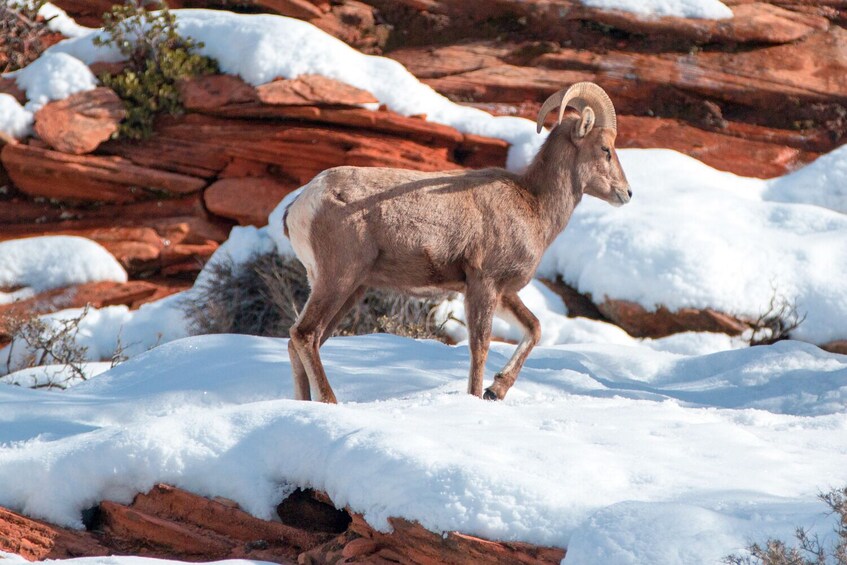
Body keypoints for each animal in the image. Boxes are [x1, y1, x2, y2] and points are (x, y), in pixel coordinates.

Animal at [284, 81, 628, 404]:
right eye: (605, 149)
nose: (627, 193)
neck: (534, 204)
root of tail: (301, 204)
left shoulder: (502, 292)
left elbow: (535, 328)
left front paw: (496, 390)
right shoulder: (483, 285)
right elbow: (480, 345)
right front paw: (478, 396)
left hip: (348, 289)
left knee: (298, 340)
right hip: (339, 280)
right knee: (304, 334)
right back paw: (330, 401)